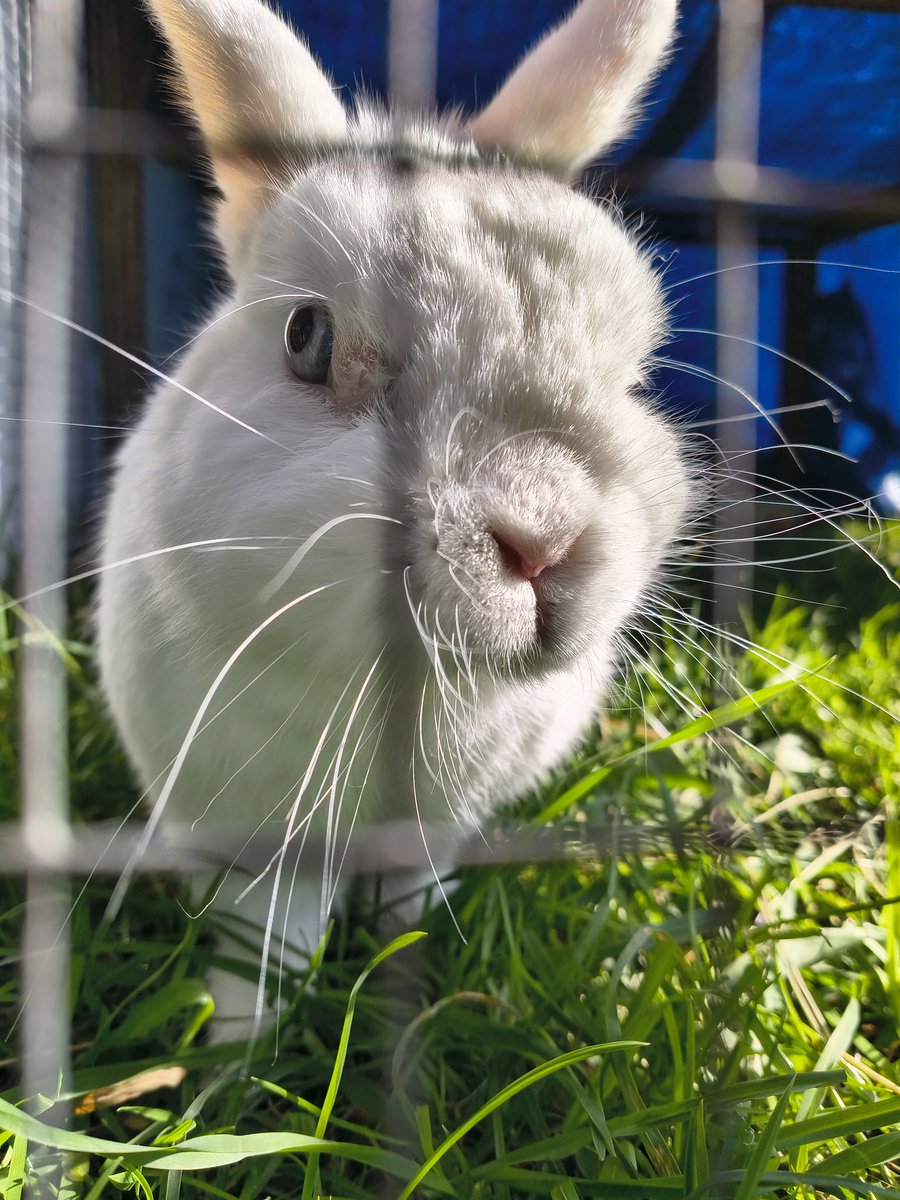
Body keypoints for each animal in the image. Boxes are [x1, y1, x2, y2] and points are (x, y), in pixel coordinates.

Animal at [97, 0, 690, 1035]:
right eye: (308, 339)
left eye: (629, 379)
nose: (542, 543)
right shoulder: (256, 839)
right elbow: (271, 942)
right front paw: (238, 1047)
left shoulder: (437, 827)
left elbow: (411, 897)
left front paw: (420, 968)